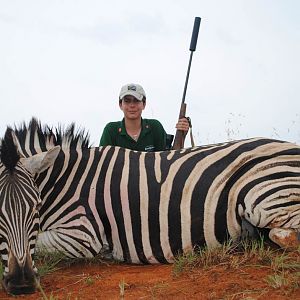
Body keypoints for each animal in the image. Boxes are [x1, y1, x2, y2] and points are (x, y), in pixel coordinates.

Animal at [0, 118, 298, 296]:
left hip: (264, 193)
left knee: (284, 234)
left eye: (36, 208)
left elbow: (41, 244)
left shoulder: (83, 235)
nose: (21, 284)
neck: (68, 180)